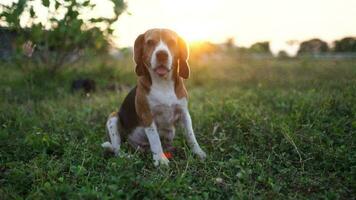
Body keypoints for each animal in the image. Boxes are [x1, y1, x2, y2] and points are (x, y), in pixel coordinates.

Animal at [101, 27, 206, 166]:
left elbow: (190, 135)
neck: (163, 83)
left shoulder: (184, 113)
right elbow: (155, 139)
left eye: (172, 42)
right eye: (150, 42)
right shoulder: (147, 116)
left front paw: (198, 152)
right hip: (113, 117)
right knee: (117, 149)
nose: (162, 54)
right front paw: (161, 160)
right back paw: (129, 157)